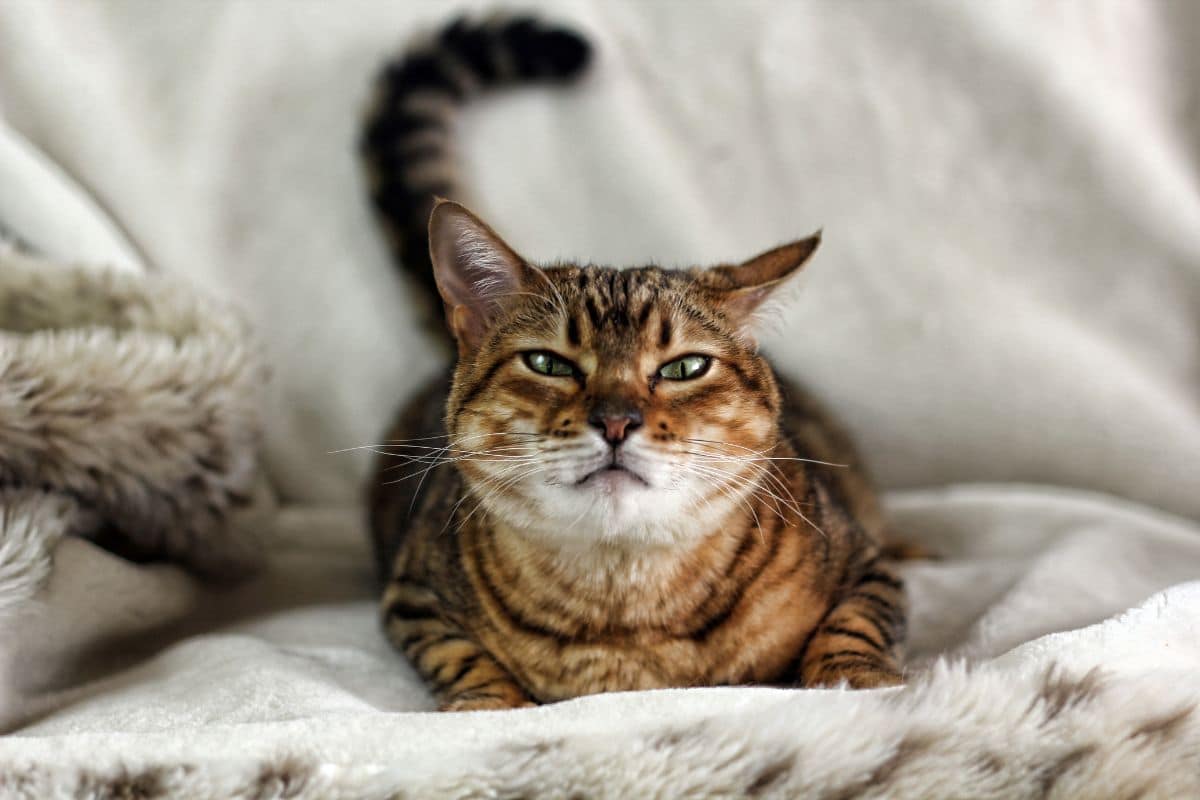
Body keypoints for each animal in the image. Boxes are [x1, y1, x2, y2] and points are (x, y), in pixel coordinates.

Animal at [360, 14, 902, 714]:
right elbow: (460, 656)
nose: (616, 422)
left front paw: (860, 682)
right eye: (549, 362)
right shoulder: (413, 594)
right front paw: (489, 708)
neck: (628, 613)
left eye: (684, 368)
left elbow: (856, 624)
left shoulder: (867, 566)